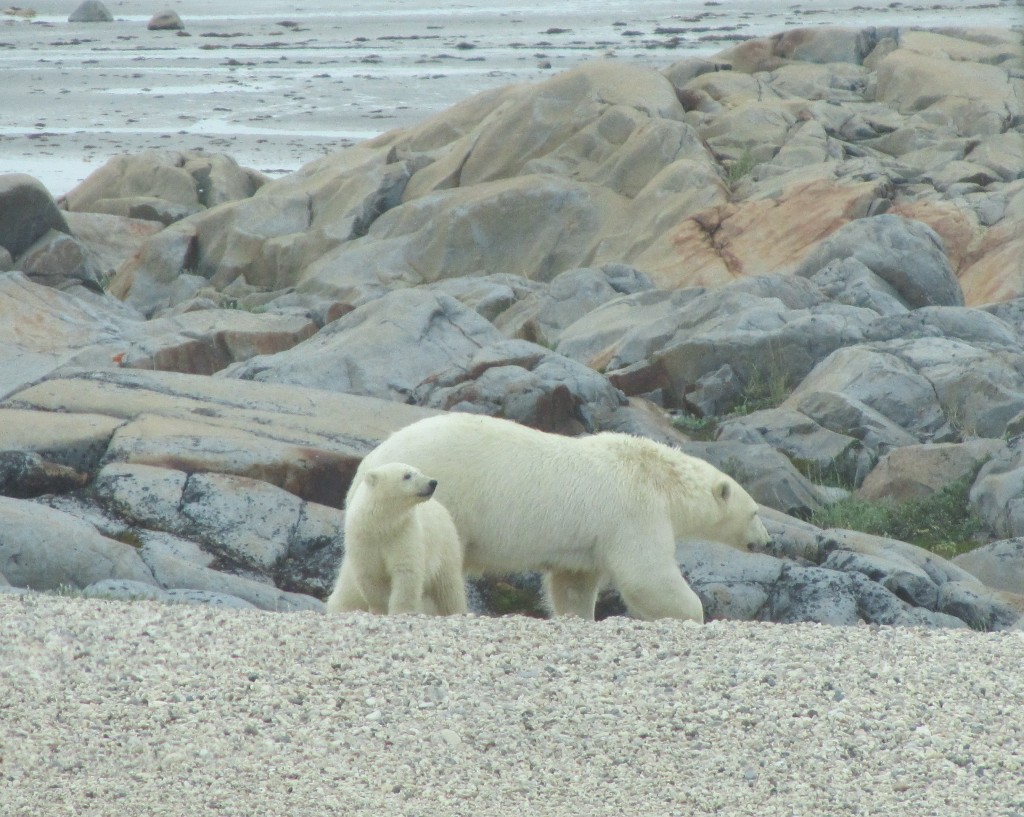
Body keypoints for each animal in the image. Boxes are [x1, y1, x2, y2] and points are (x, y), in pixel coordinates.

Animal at [326, 462, 468, 616]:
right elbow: (371, 575)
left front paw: (401, 610)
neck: (381, 526)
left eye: (419, 471)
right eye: (407, 475)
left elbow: (405, 570)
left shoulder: (404, 532)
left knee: (448, 586)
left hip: (444, 546)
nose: (432, 482)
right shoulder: (363, 538)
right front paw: (380, 609)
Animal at [351, 412, 770, 623]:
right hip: (436, 497)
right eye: (755, 511)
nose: (766, 541)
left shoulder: (587, 541)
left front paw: (578, 615)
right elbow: (646, 575)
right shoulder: (635, 511)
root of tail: (371, 461)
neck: (659, 476)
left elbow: (573, 583)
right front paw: (693, 614)